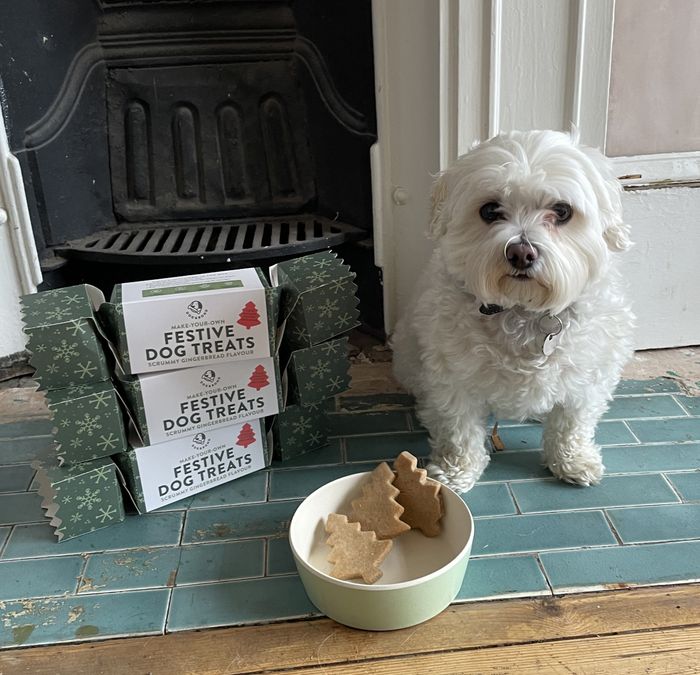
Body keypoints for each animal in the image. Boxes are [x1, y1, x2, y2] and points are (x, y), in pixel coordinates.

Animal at [392, 129, 636, 494]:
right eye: (490, 210)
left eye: (562, 211)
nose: (521, 253)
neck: (524, 312)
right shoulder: (452, 378)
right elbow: (459, 428)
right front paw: (456, 470)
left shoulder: (590, 374)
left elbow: (572, 422)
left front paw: (573, 460)